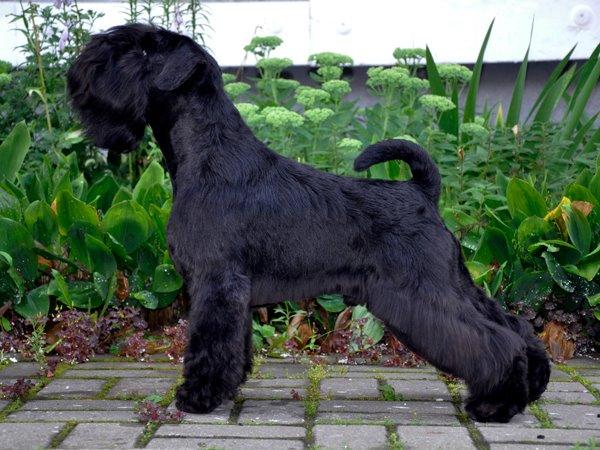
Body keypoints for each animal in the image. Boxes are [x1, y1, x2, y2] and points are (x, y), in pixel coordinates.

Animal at [67, 23, 550, 423]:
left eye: (144, 50)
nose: (80, 67)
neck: (207, 155)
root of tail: (422, 192)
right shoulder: (234, 291)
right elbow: (233, 347)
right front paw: (225, 390)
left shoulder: (215, 282)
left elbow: (208, 344)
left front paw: (198, 397)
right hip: (451, 281)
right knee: (514, 325)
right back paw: (530, 387)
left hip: (425, 290)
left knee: (493, 340)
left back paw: (496, 405)